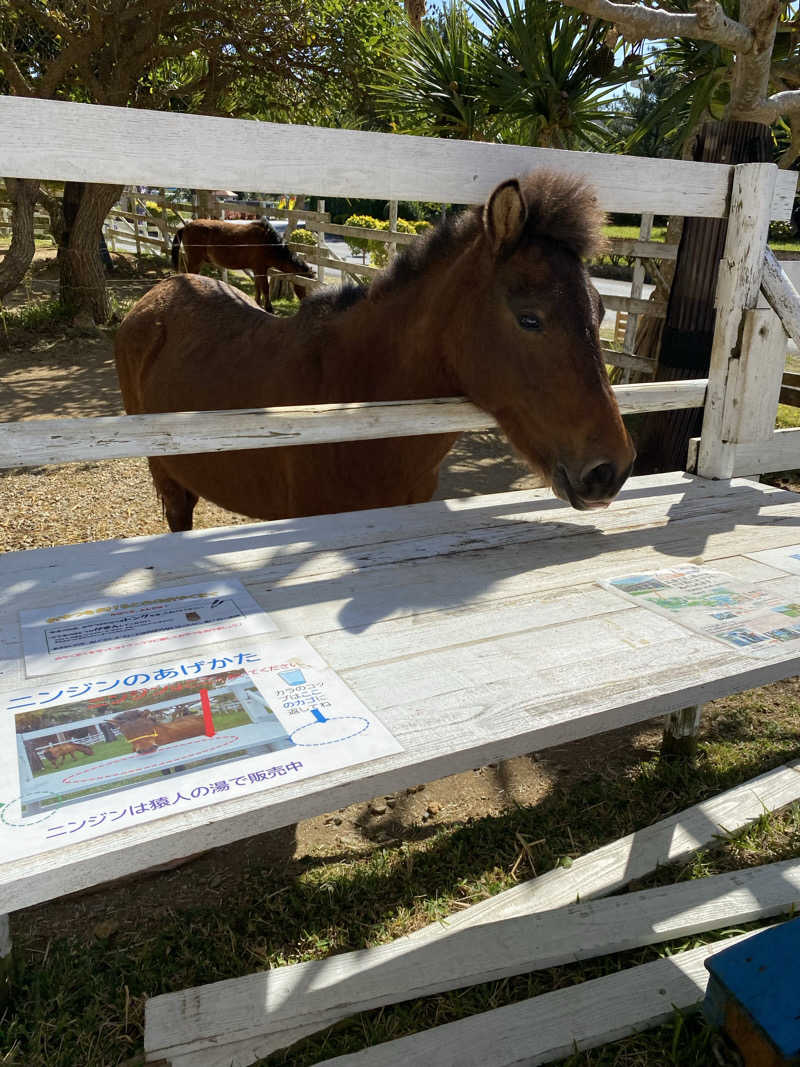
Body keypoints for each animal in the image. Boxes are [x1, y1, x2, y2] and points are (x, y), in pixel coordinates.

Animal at [170, 217, 315, 311]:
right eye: (307, 286)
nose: (307, 303)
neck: (268, 244)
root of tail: (186, 227)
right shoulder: (260, 269)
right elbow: (265, 288)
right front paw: (269, 308)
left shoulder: (257, 270)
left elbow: (258, 288)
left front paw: (257, 304)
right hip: (195, 260)